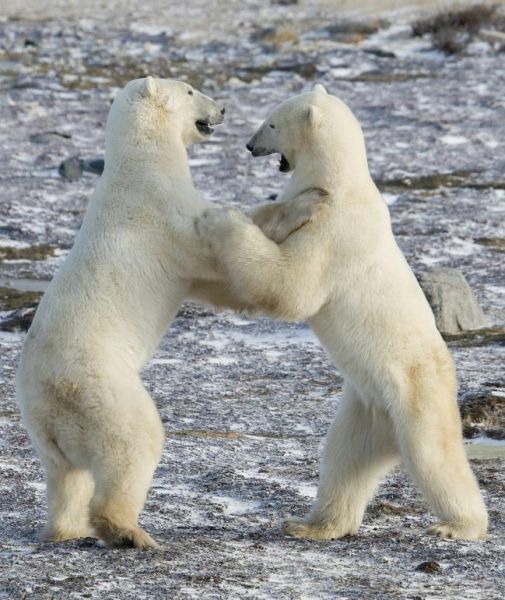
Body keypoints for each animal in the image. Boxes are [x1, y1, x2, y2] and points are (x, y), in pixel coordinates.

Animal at [16, 77, 322, 552]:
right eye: (192, 90)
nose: (223, 109)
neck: (141, 162)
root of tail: (43, 393)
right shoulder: (166, 215)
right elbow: (219, 251)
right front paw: (310, 200)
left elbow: (220, 279)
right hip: (98, 387)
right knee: (134, 443)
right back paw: (129, 531)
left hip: (46, 428)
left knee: (66, 477)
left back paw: (68, 529)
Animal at [194, 83, 488, 540]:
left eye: (271, 123)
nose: (249, 145)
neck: (339, 182)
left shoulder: (336, 231)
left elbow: (293, 286)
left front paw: (221, 220)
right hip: (364, 408)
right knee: (344, 458)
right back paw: (310, 524)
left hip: (416, 392)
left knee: (433, 456)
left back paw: (458, 526)